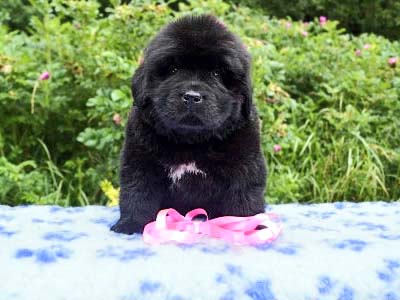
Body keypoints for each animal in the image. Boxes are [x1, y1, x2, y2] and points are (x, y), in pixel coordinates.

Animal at [110, 14, 266, 234]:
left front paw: (246, 227)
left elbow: (244, 199)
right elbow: (137, 193)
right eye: (173, 69)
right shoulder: (139, 160)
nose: (192, 97)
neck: (191, 142)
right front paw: (129, 224)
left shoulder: (245, 165)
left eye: (217, 73)